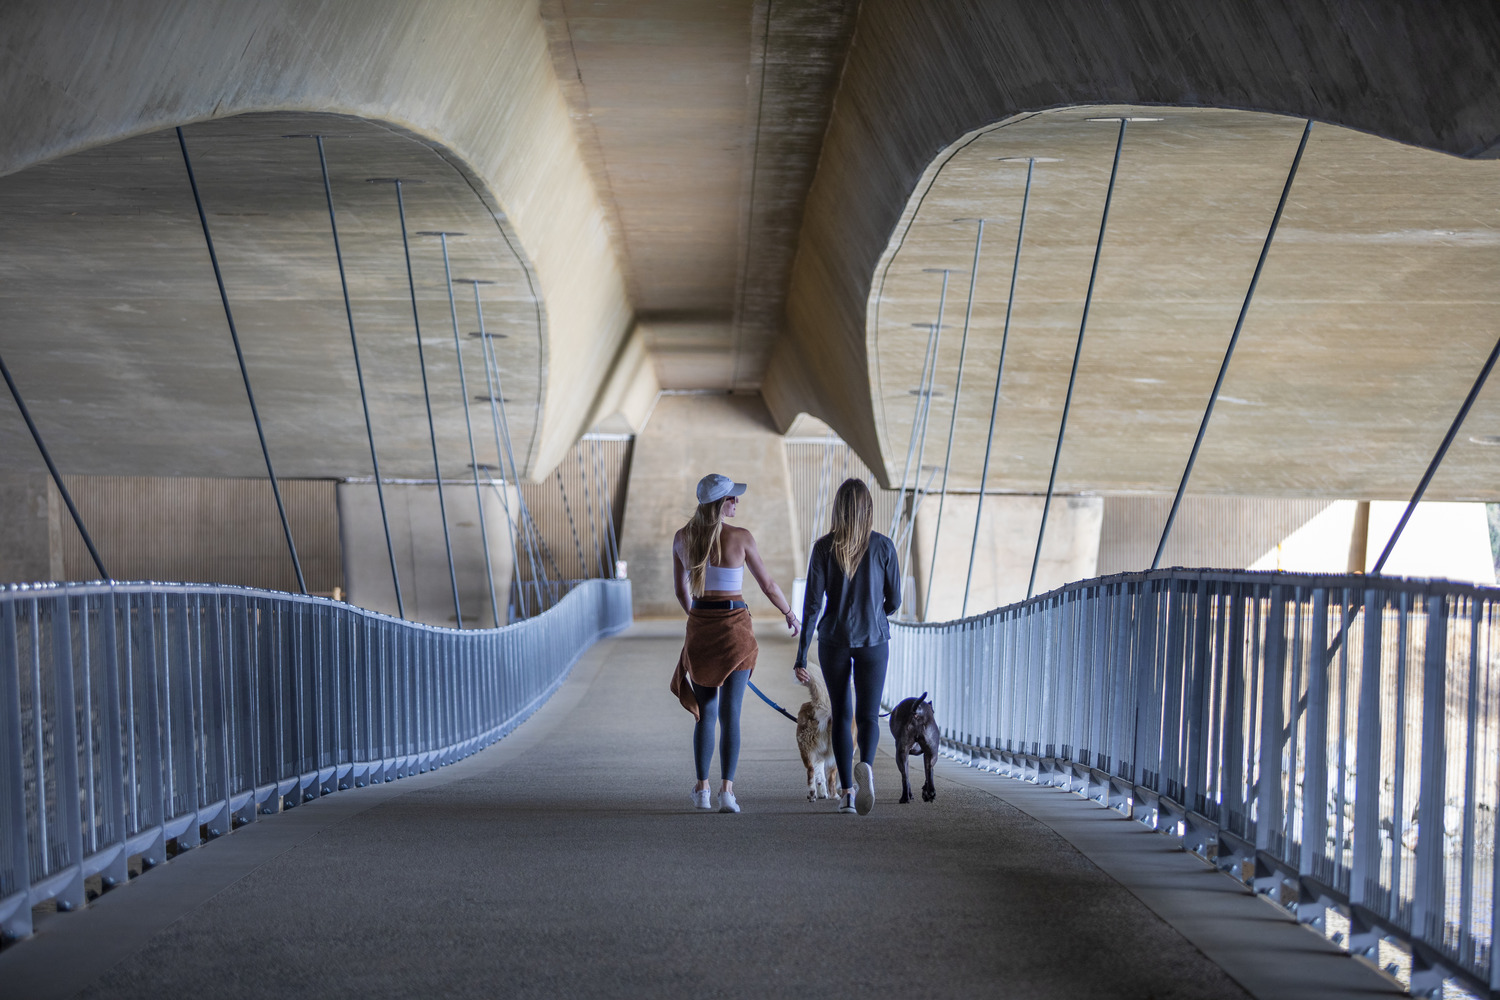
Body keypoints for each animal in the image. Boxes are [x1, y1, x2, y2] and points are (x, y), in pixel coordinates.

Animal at [792, 668, 840, 803]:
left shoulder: (819, 757)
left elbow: (820, 777)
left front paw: (822, 793)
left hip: (807, 750)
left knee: (812, 771)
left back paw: (813, 795)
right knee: (819, 774)